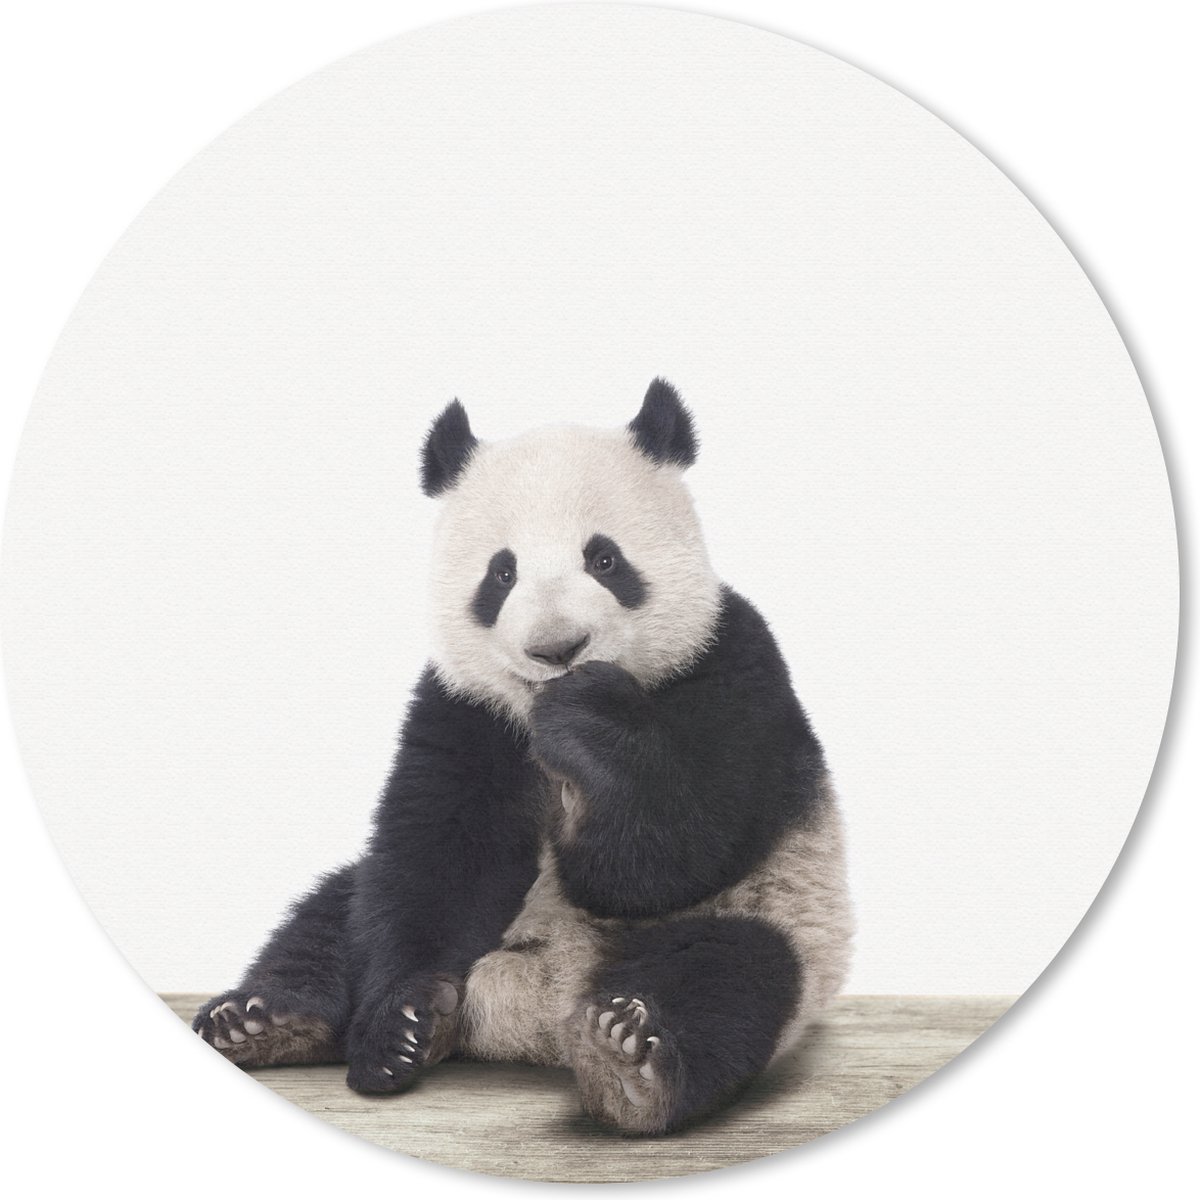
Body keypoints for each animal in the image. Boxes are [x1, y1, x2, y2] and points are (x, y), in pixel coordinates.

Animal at [193, 379, 854, 1135]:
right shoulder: (465, 709)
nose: (556, 648)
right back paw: (268, 1021)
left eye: (605, 559)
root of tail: (532, 1016)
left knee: (731, 976)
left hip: (775, 918)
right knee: (333, 914)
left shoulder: (730, 664)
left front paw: (590, 722)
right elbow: (438, 860)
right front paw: (399, 1027)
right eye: (501, 573)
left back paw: (629, 1062)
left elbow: (669, 854)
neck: (535, 715)